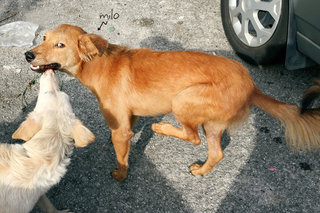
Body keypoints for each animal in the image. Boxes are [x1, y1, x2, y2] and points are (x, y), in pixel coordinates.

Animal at [24, 24, 320, 181]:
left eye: (60, 45)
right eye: (44, 38)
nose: (27, 54)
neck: (99, 65)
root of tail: (252, 85)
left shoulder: (120, 127)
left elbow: (121, 154)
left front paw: (121, 173)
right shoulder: (127, 117)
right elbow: (129, 128)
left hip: (183, 99)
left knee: (193, 137)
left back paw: (162, 129)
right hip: (213, 123)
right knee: (216, 152)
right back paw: (201, 170)